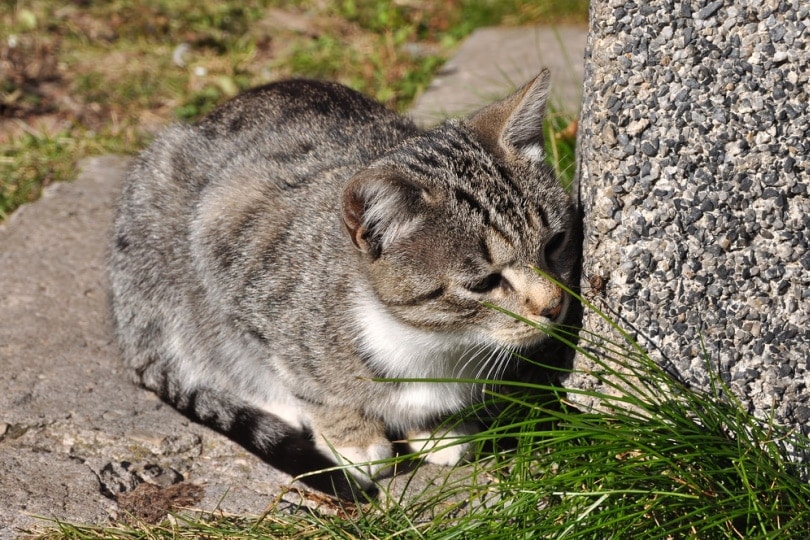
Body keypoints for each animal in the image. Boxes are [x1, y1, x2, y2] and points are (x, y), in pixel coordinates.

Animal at [107, 68, 576, 494]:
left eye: (555, 243)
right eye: (484, 283)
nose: (554, 305)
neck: (435, 341)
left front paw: (435, 427)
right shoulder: (230, 249)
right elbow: (300, 379)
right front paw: (354, 438)